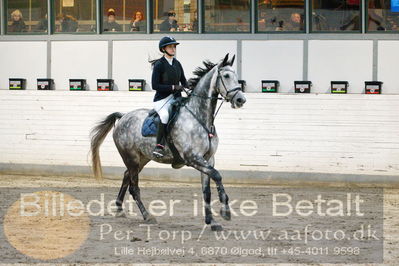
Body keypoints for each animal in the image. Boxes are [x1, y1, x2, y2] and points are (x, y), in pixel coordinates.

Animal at [91, 53, 247, 230]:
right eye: (226, 76)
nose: (241, 100)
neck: (200, 118)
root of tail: (123, 116)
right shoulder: (193, 158)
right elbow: (217, 175)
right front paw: (225, 212)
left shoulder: (208, 159)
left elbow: (206, 190)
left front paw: (212, 221)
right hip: (131, 158)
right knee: (134, 187)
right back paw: (147, 216)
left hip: (142, 159)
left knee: (126, 177)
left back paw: (119, 209)